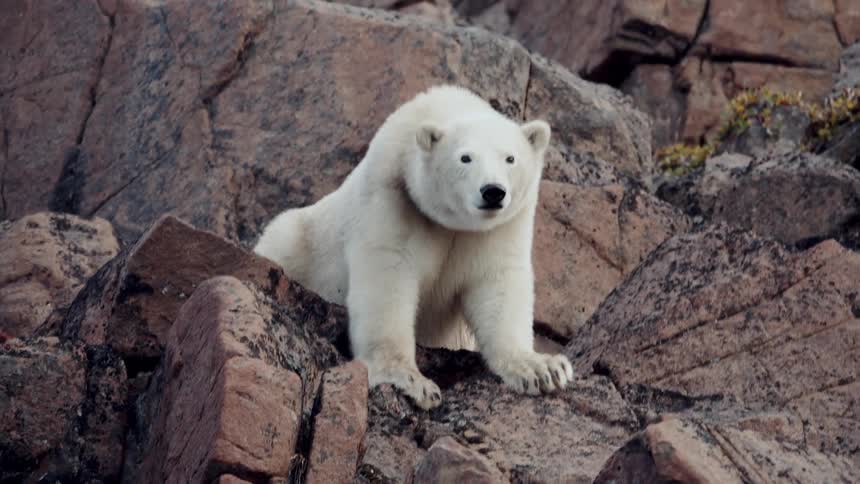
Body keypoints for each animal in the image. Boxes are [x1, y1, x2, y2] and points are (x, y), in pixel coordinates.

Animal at [254, 84, 573, 410]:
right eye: (465, 158)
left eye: (510, 158)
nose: (493, 191)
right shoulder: (391, 194)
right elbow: (389, 276)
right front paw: (410, 381)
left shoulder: (499, 227)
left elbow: (497, 282)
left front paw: (542, 369)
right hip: (298, 240)